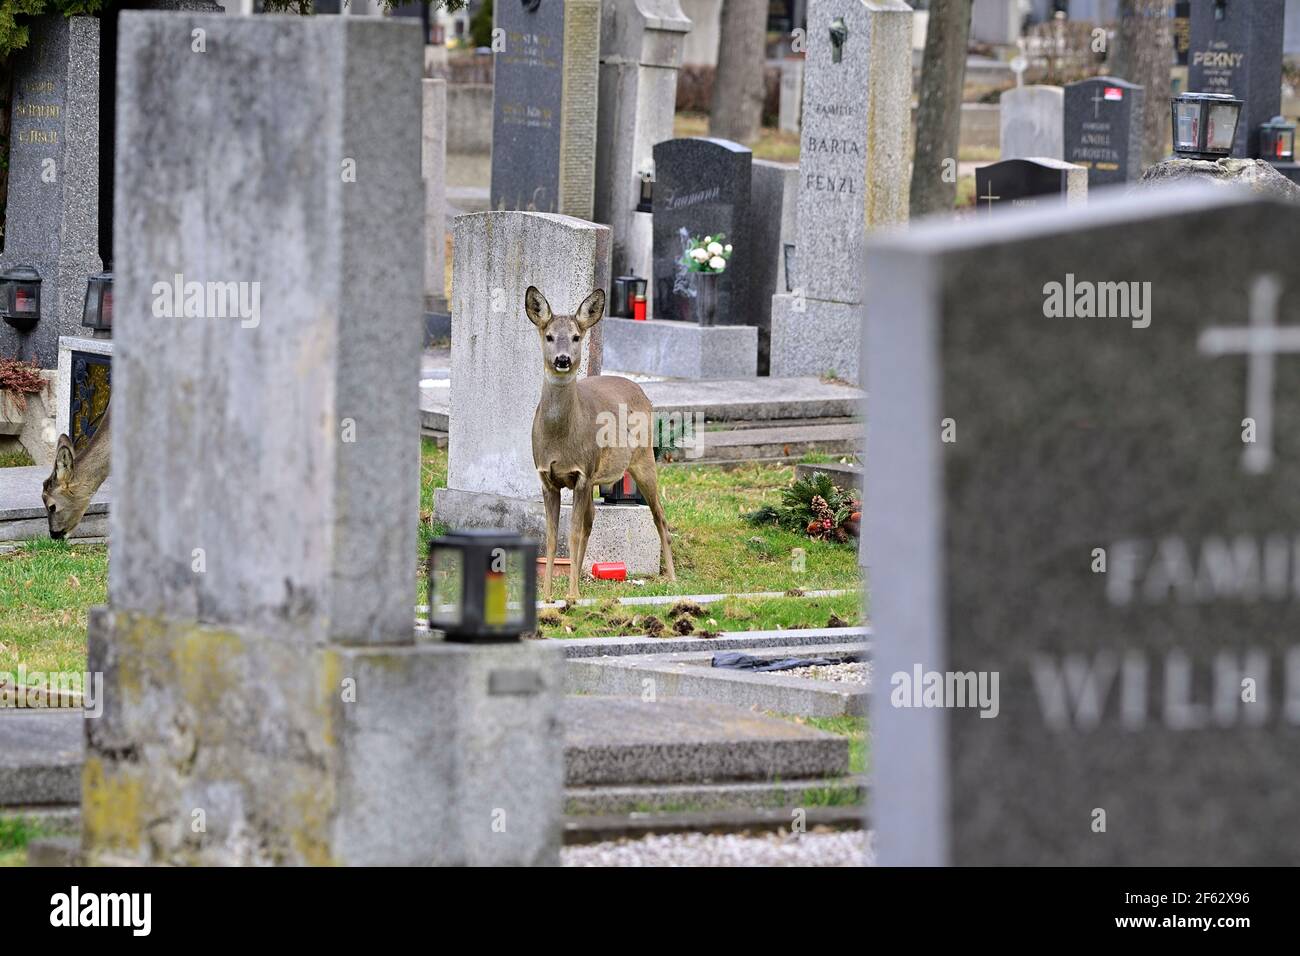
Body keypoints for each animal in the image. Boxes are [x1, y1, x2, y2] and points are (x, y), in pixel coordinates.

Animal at [525, 283, 676, 600]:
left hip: (644, 459)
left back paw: (672, 579)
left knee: (660, 515)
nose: (562, 359)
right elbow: (551, 537)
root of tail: (641, 391)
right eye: (549, 336)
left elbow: (571, 535)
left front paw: (570, 595)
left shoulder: (582, 473)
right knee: (591, 520)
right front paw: (549, 596)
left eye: (576, 336)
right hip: (600, 475)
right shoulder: (547, 477)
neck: (560, 440)